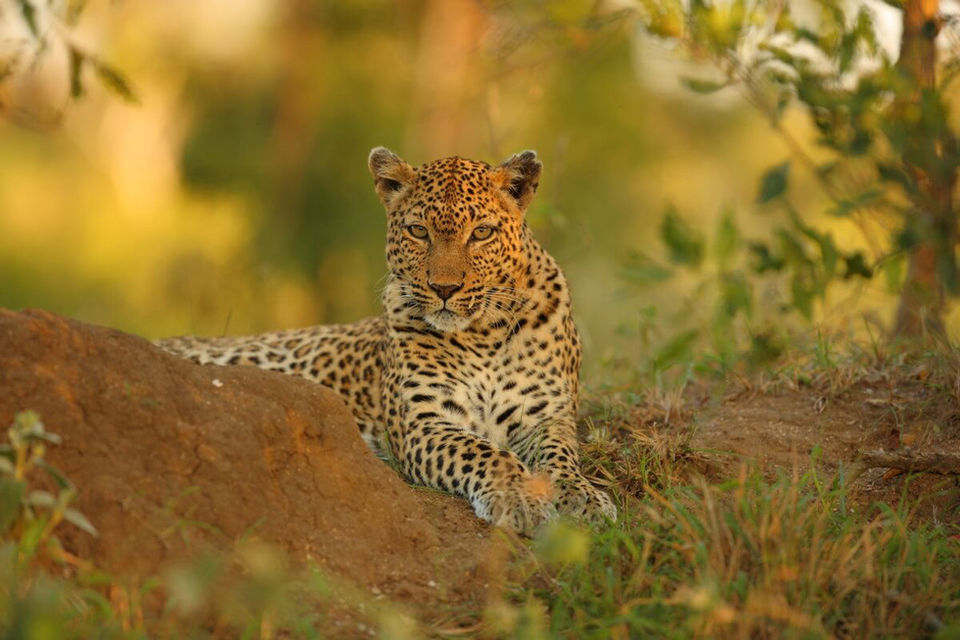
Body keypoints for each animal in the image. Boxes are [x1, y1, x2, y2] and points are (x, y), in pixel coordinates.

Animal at [156, 147, 617, 535]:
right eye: (418, 231)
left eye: (482, 233)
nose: (444, 288)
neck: (482, 333)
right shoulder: (423, 422)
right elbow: (484, 451)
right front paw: (518, 497)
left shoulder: (547, 416)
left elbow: (561, 457)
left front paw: (584, 499)